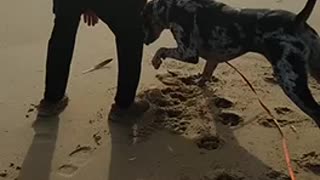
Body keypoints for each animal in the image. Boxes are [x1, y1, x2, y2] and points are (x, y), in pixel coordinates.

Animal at [142, 0, 320, 127]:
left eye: (144, 22)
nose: (144, 42)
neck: (173, 7)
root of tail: (297, 20)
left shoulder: (188, 52)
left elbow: (162, 50)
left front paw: (156, 61)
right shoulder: (212, 59)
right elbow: (205, 74)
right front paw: (197, 83)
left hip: (290, 80)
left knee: (316, 111)